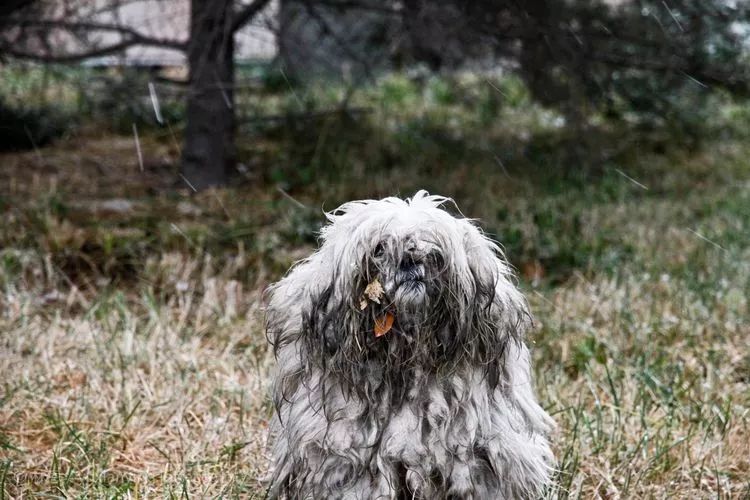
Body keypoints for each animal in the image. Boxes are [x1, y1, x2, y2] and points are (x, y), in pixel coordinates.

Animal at [268, 191, 556, 500]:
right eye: (379, 248)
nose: (409, 258)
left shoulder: (475, 455)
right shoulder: (346, 454)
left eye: (432, 249)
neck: (406, 361)